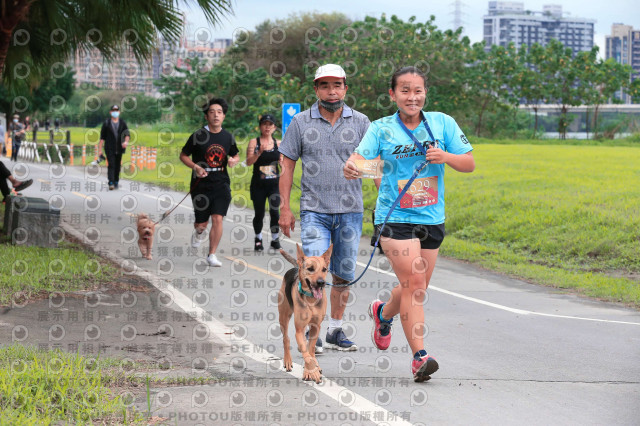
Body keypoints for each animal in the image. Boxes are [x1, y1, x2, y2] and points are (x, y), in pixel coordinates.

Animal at [278, 243, 332, 382]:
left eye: (324, 269)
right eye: (310, 269)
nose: (321, 283)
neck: (311, 299)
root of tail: (296, 267)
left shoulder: (316, 326)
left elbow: (310, 349)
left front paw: (311, 369)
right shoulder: (299, 329)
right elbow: (305, 352)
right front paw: (311, 372)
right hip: (283, 316)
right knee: (286, 338)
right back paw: (287, 361)